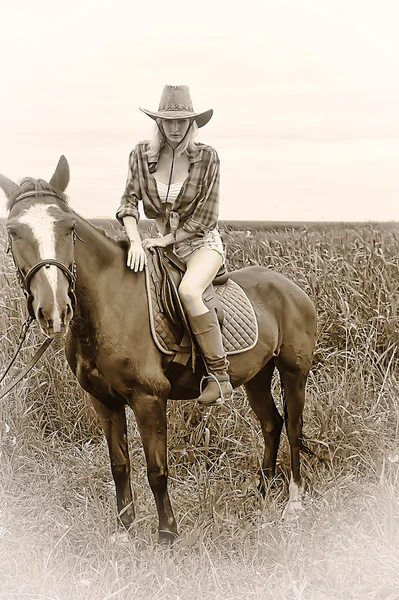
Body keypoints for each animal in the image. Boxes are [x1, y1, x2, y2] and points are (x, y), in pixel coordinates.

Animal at [1, 156, 318, 544]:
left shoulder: (149, 398)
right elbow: (119, 465)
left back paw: (293, 503)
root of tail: (292, 288)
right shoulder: (103, 401)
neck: (109, 303)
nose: (55, 310)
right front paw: (124, 531)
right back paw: (261, 492)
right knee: (272, 424)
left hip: (293, 372)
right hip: (257, 376)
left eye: (68, 226)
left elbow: (156, 470)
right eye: (14, 231)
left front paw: (167, 534)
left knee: (294, 429)